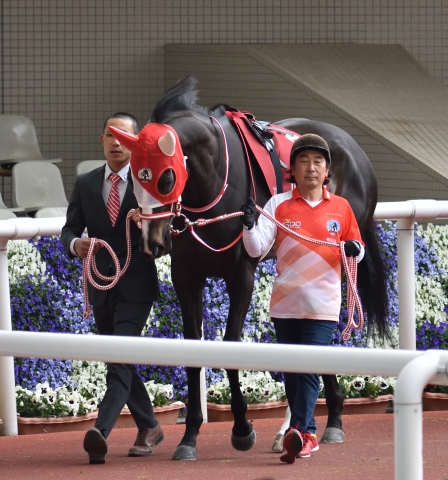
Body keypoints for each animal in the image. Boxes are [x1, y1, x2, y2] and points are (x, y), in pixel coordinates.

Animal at [109, 76, 388, 462]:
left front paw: (242, 429)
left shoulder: (241, 273)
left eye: (166, 178)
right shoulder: (186, 275)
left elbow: (231, 345)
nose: (153, 242)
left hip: (340, 255)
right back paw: (303, 425)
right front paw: (189, 436)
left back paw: (326, 420)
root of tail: (353, 147)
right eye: (135, 177)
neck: (213, 185)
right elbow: (192, 348)